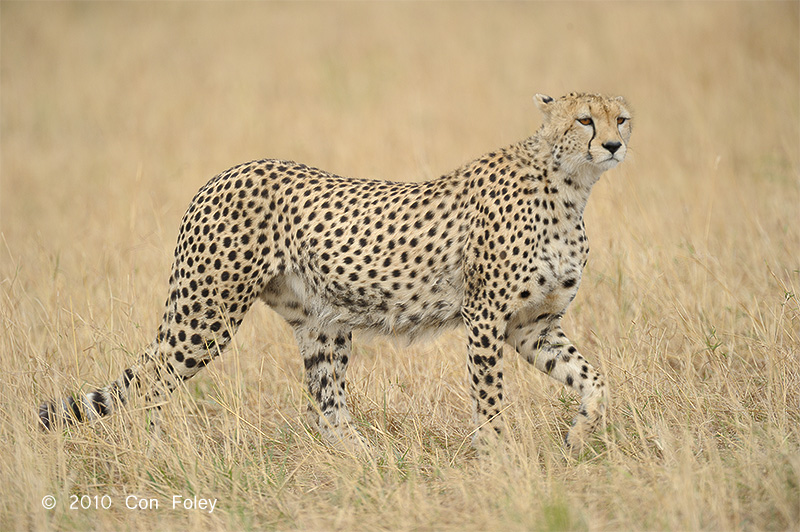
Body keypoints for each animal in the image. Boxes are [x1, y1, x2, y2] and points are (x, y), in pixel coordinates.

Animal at [40, 92, 636, 454]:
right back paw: (158, 448)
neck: (569, 187)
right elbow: (489, 395)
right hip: (204, 318)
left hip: (321, 325)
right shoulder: (486, 317)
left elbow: (594, 378)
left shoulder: (531, 326)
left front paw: (579, 433)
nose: (613, 144)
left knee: (327, 410)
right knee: (152, 379)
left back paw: (370, 460)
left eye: (620, 118)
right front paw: (496, 455)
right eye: (585, 119)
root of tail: (221, 174)